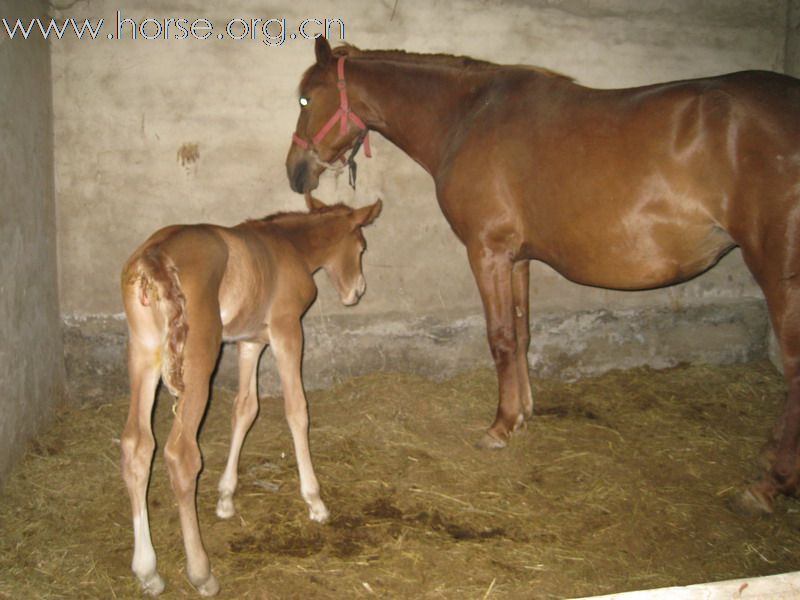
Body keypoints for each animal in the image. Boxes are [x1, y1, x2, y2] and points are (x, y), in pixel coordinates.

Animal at [118, 196, 382, 596]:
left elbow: (244, 410)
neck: (290, 248)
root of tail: (155, 257)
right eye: (362, 247)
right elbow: (297, 410)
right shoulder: (288, 330)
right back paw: (202, 573)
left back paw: (148, 572)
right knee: (181, 454)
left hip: (144, 355)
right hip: (200, 358)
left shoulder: (250, 342)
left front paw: (226, 497)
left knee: (137, 445)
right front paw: (315, 501)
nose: (358, 291)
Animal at [288, 37, 800, 516]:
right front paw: (522, 414)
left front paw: (499, 427)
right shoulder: (517, 259)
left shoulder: (488, 252)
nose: (295, 173)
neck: (468, 117)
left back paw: (768, 484)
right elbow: (521, 334)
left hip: (779, 274)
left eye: (306, 99)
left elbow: (499, 338)